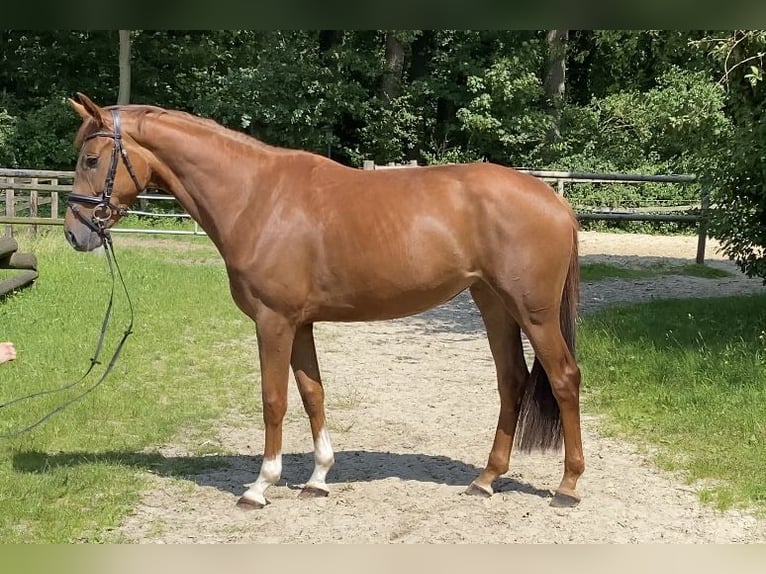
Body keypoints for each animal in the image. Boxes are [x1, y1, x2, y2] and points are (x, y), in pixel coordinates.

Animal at [63, 94, 584, 512]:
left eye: (90, 159)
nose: (75, 234)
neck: (256, 197)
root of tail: (554, 200)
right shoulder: (300, 324)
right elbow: (313, 393)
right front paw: (317, 479)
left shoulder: (273, 321)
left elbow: (274, 400)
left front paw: (260, 486)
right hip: (493, 304)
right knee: (511, 381)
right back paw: (486, 479)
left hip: (534, 313)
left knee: (563, 379)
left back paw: (568, 486)